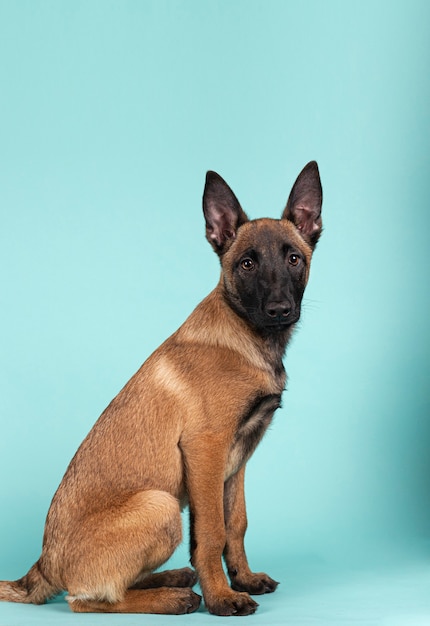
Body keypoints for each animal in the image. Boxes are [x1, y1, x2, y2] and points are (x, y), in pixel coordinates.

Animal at [0, 161, 322, 616]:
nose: (279, 310)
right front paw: (221, 597)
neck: (247, 338)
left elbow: (236, 524)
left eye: (294, 259)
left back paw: (172, 579)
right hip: (160, 504)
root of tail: (43, 566)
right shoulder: (206, 450)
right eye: (246, 264)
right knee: (88, 599)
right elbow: (212, 534)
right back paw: (171, 597)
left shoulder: (236, 461)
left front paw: (243, 579)